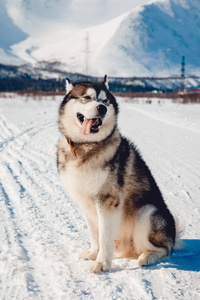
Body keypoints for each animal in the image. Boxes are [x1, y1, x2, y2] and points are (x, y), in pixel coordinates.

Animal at [57, 75, 176, 274]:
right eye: (87, 98)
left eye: (105, 100)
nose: (102, 108)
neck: (86, 146)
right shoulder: (85, 203)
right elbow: (95, 234)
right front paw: (93, 253)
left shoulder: (107, 202)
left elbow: (104, 237)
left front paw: (101, 263)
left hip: (146, 213)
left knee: (164, 249)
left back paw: (148, 257)